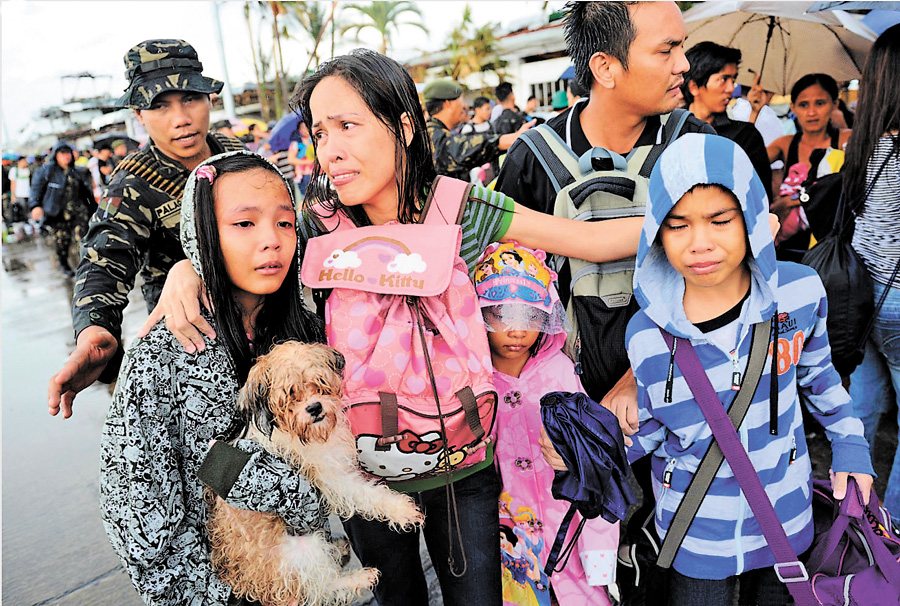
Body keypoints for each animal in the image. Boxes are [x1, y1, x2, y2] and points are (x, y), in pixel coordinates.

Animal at [207, 344, 426, 604]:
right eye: (290, 394)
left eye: (319, 382)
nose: (315, 407)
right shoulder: (333, 480)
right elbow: (368, 494)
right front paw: (403, 510)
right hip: (304, 549)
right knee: (321, 586)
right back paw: (360, 578)